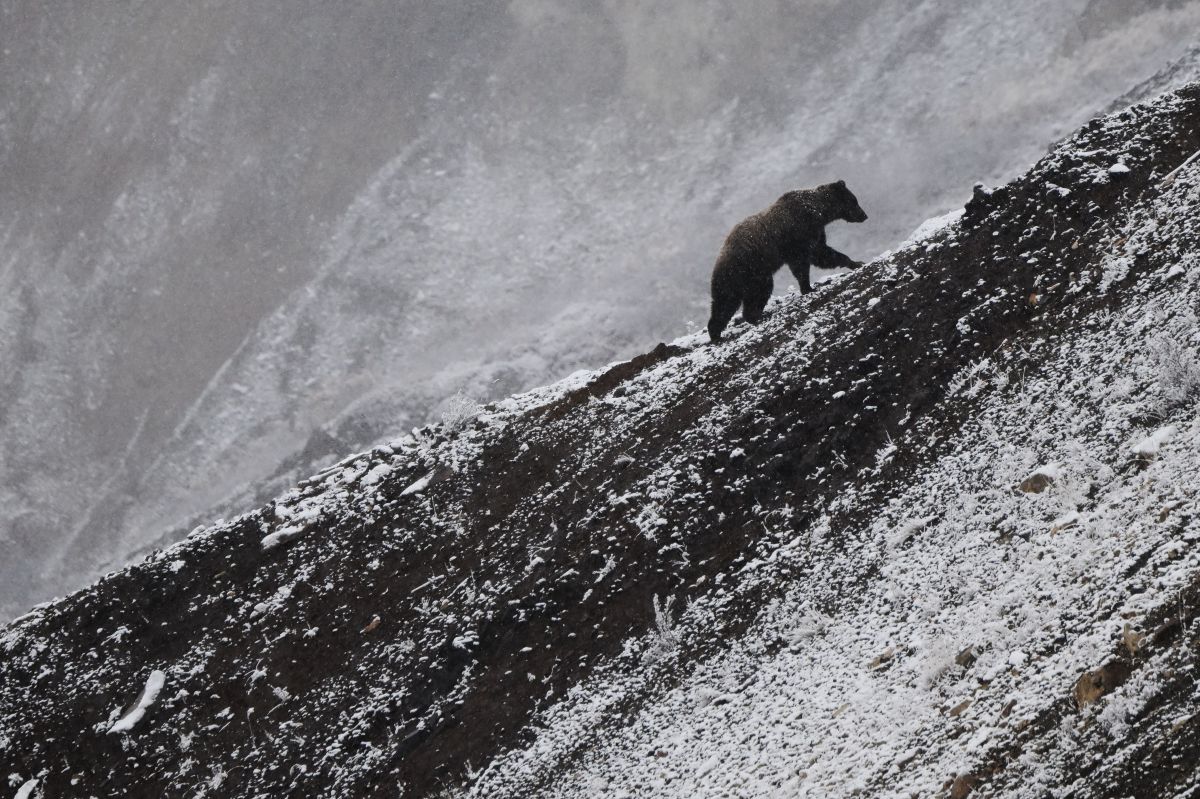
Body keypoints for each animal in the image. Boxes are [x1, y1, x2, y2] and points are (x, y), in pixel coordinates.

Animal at [705, 178, 868, 340]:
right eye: (854, 200)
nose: (864, 215)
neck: (818, 211)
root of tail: (717, 263)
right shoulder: (798, 235)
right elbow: (803, 263)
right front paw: (808, 287)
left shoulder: (814, 233)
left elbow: (822, 254)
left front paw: (856, 262)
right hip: (748, 271)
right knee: (747, 296)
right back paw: (747, 321)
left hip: (740, 280)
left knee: (727, 303)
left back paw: (722, 329)